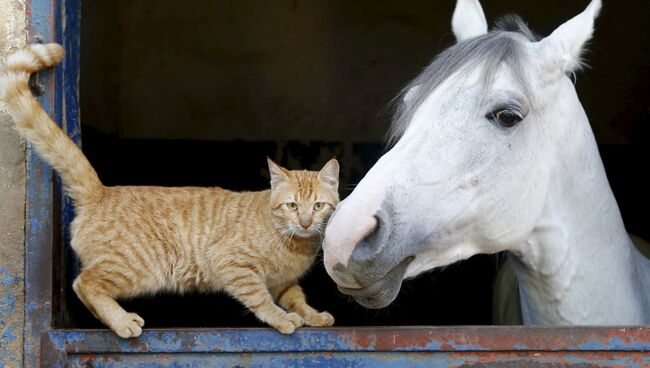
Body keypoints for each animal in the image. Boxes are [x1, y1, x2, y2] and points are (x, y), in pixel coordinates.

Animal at [2, 43, 340, 336]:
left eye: (318, 206)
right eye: (292, 206)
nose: (306, 222)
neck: (295, 245)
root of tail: (102, 191)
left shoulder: (284, 282)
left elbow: (297, 299)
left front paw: (313, 315)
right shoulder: (232, 264)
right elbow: (261, 299)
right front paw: (282, 319)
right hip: (137, 267)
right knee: (84, 283)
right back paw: (122, 321)